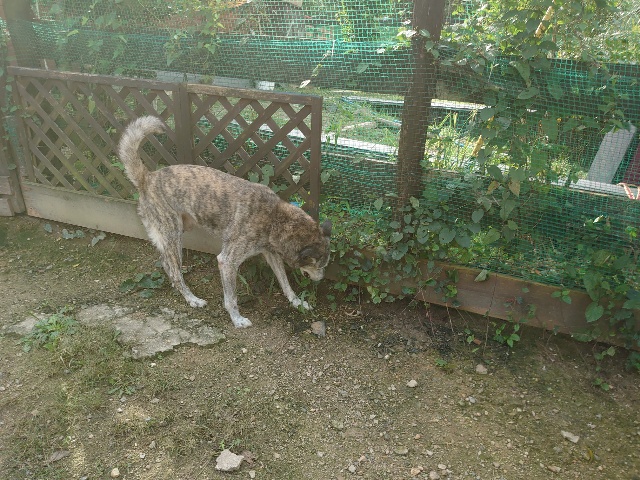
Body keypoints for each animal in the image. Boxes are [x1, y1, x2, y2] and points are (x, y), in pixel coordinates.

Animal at [117, 116, 332, 328]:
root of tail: (147, 178)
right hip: (173, 235)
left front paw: (297, 302)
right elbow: (231, 298)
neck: (275, 218)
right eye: (320, 266)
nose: (321, 280)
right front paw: (237, 319)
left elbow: (285, 282)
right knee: (175, 273)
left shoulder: (271, 255)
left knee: (167, 265)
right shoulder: (227, 262)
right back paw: (192, 299)